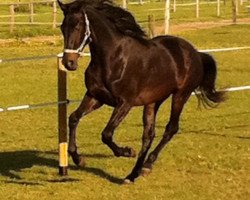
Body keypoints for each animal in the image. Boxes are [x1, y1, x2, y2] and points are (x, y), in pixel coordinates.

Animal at [57, 0, 226, 184]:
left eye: (78, 25)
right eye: (62, 27)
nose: (69, 63)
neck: (114, 58)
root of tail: (196, 53)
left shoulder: (125, 103)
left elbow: (106, 134)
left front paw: (127, 151)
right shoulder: (95, 97)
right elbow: (73, 118)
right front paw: (78, 159)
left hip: (181, 95)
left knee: (171, 128)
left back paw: (146, 166)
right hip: (153, 101)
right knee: (149, 134)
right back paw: (134, 174)